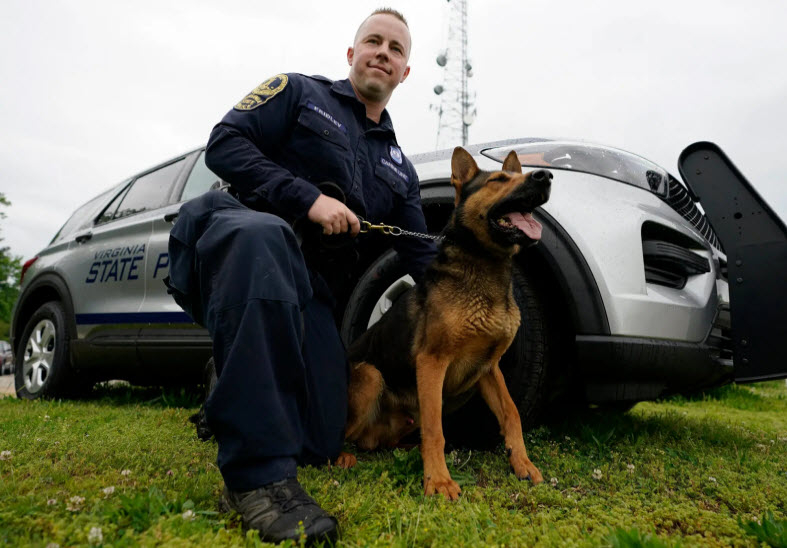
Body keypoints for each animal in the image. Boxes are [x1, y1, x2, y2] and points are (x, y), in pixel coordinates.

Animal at [338, 148, 556, 498]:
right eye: (497, 181)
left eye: (515, 175)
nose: (546, 176)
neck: (486, 267)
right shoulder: (432, 362)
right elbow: (435, 427)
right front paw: (438, 480)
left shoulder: (488, 367)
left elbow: (511, 413)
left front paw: (522, 463)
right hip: (371, 376)